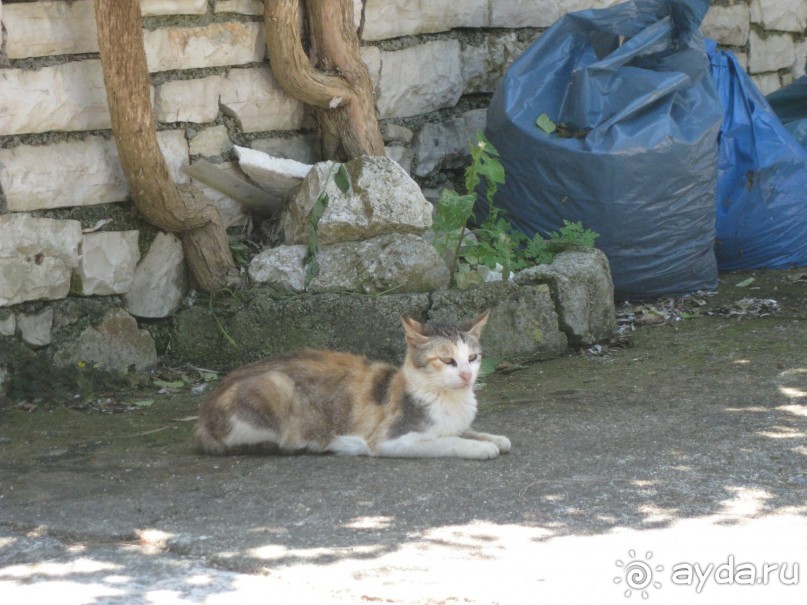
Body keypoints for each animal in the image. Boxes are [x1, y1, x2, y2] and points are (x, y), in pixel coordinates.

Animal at [194, 312, 512, 458]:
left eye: (472, 358)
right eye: (447, 360)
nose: (467, 376)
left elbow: (466, 431)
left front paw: (494, 438)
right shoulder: (391, 440)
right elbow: (448, 441)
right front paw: (479, 447)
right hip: (277, 386)